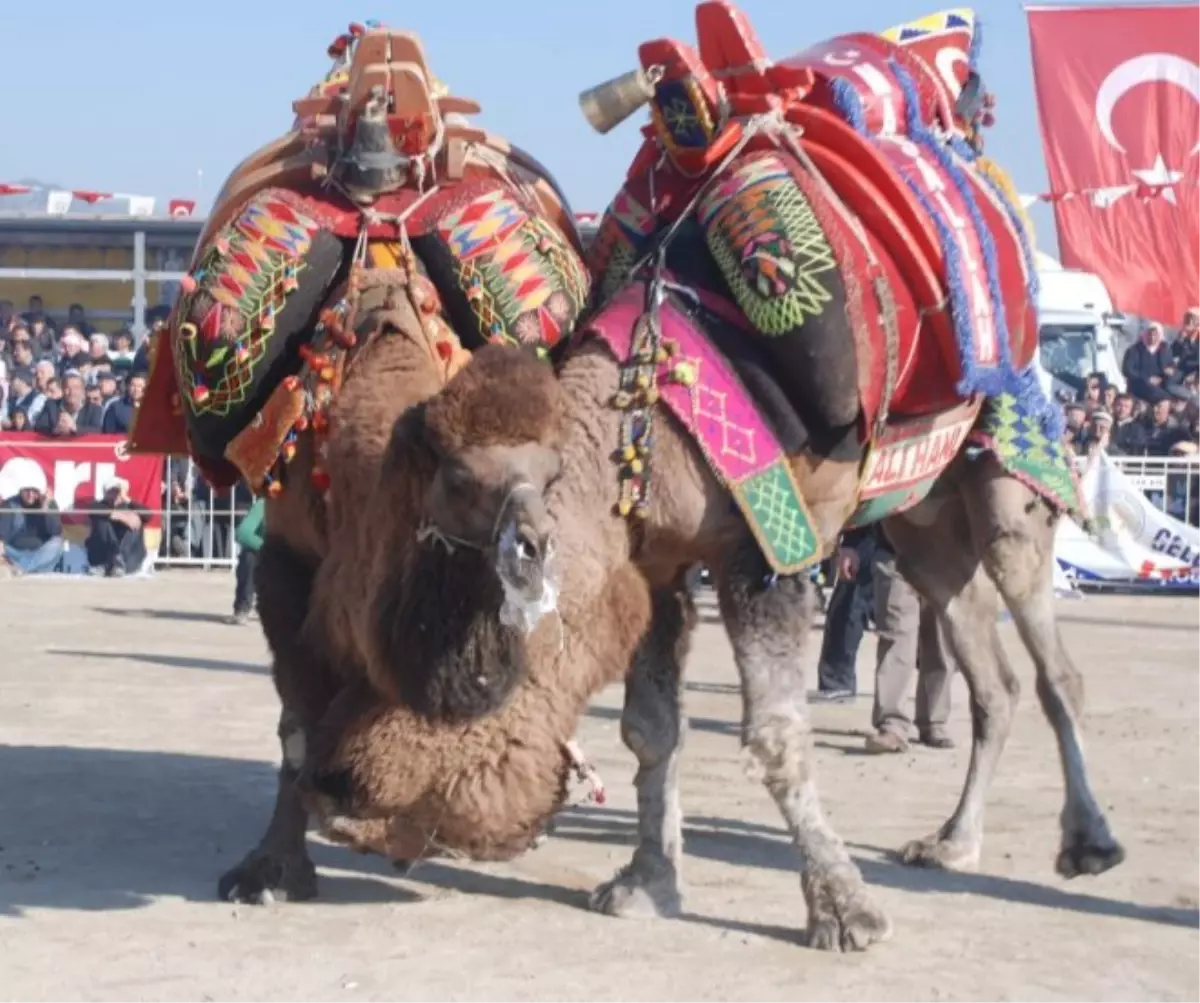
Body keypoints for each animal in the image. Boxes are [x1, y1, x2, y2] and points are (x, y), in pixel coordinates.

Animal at [297, 3, 1123, 950]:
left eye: (473, 677)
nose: (345, 806)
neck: (647, 412)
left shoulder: (769, 549)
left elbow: (774, 732)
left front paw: (844, 909)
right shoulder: (656, 559)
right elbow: (650, 728)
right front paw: (645, 880)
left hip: (1010, 459)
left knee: (1051, 654)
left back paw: (1088, 842)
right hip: (922, 525)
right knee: (989, 666)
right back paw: (953, 842)